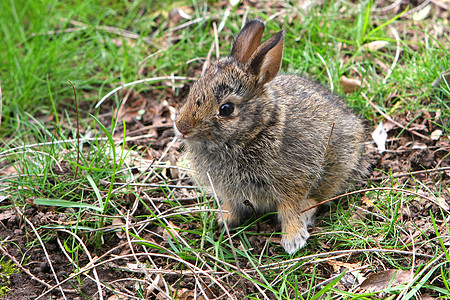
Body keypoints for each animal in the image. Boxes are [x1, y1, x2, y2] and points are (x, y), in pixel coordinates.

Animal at [174, 19, 368, 253]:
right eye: (193, 89)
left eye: (226, 109)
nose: (182, 127)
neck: (255, 132)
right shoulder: (231, 192)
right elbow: (233, 205)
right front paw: (224, 220)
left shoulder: (294, 180)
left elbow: (289, 208)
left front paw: (293, 239)